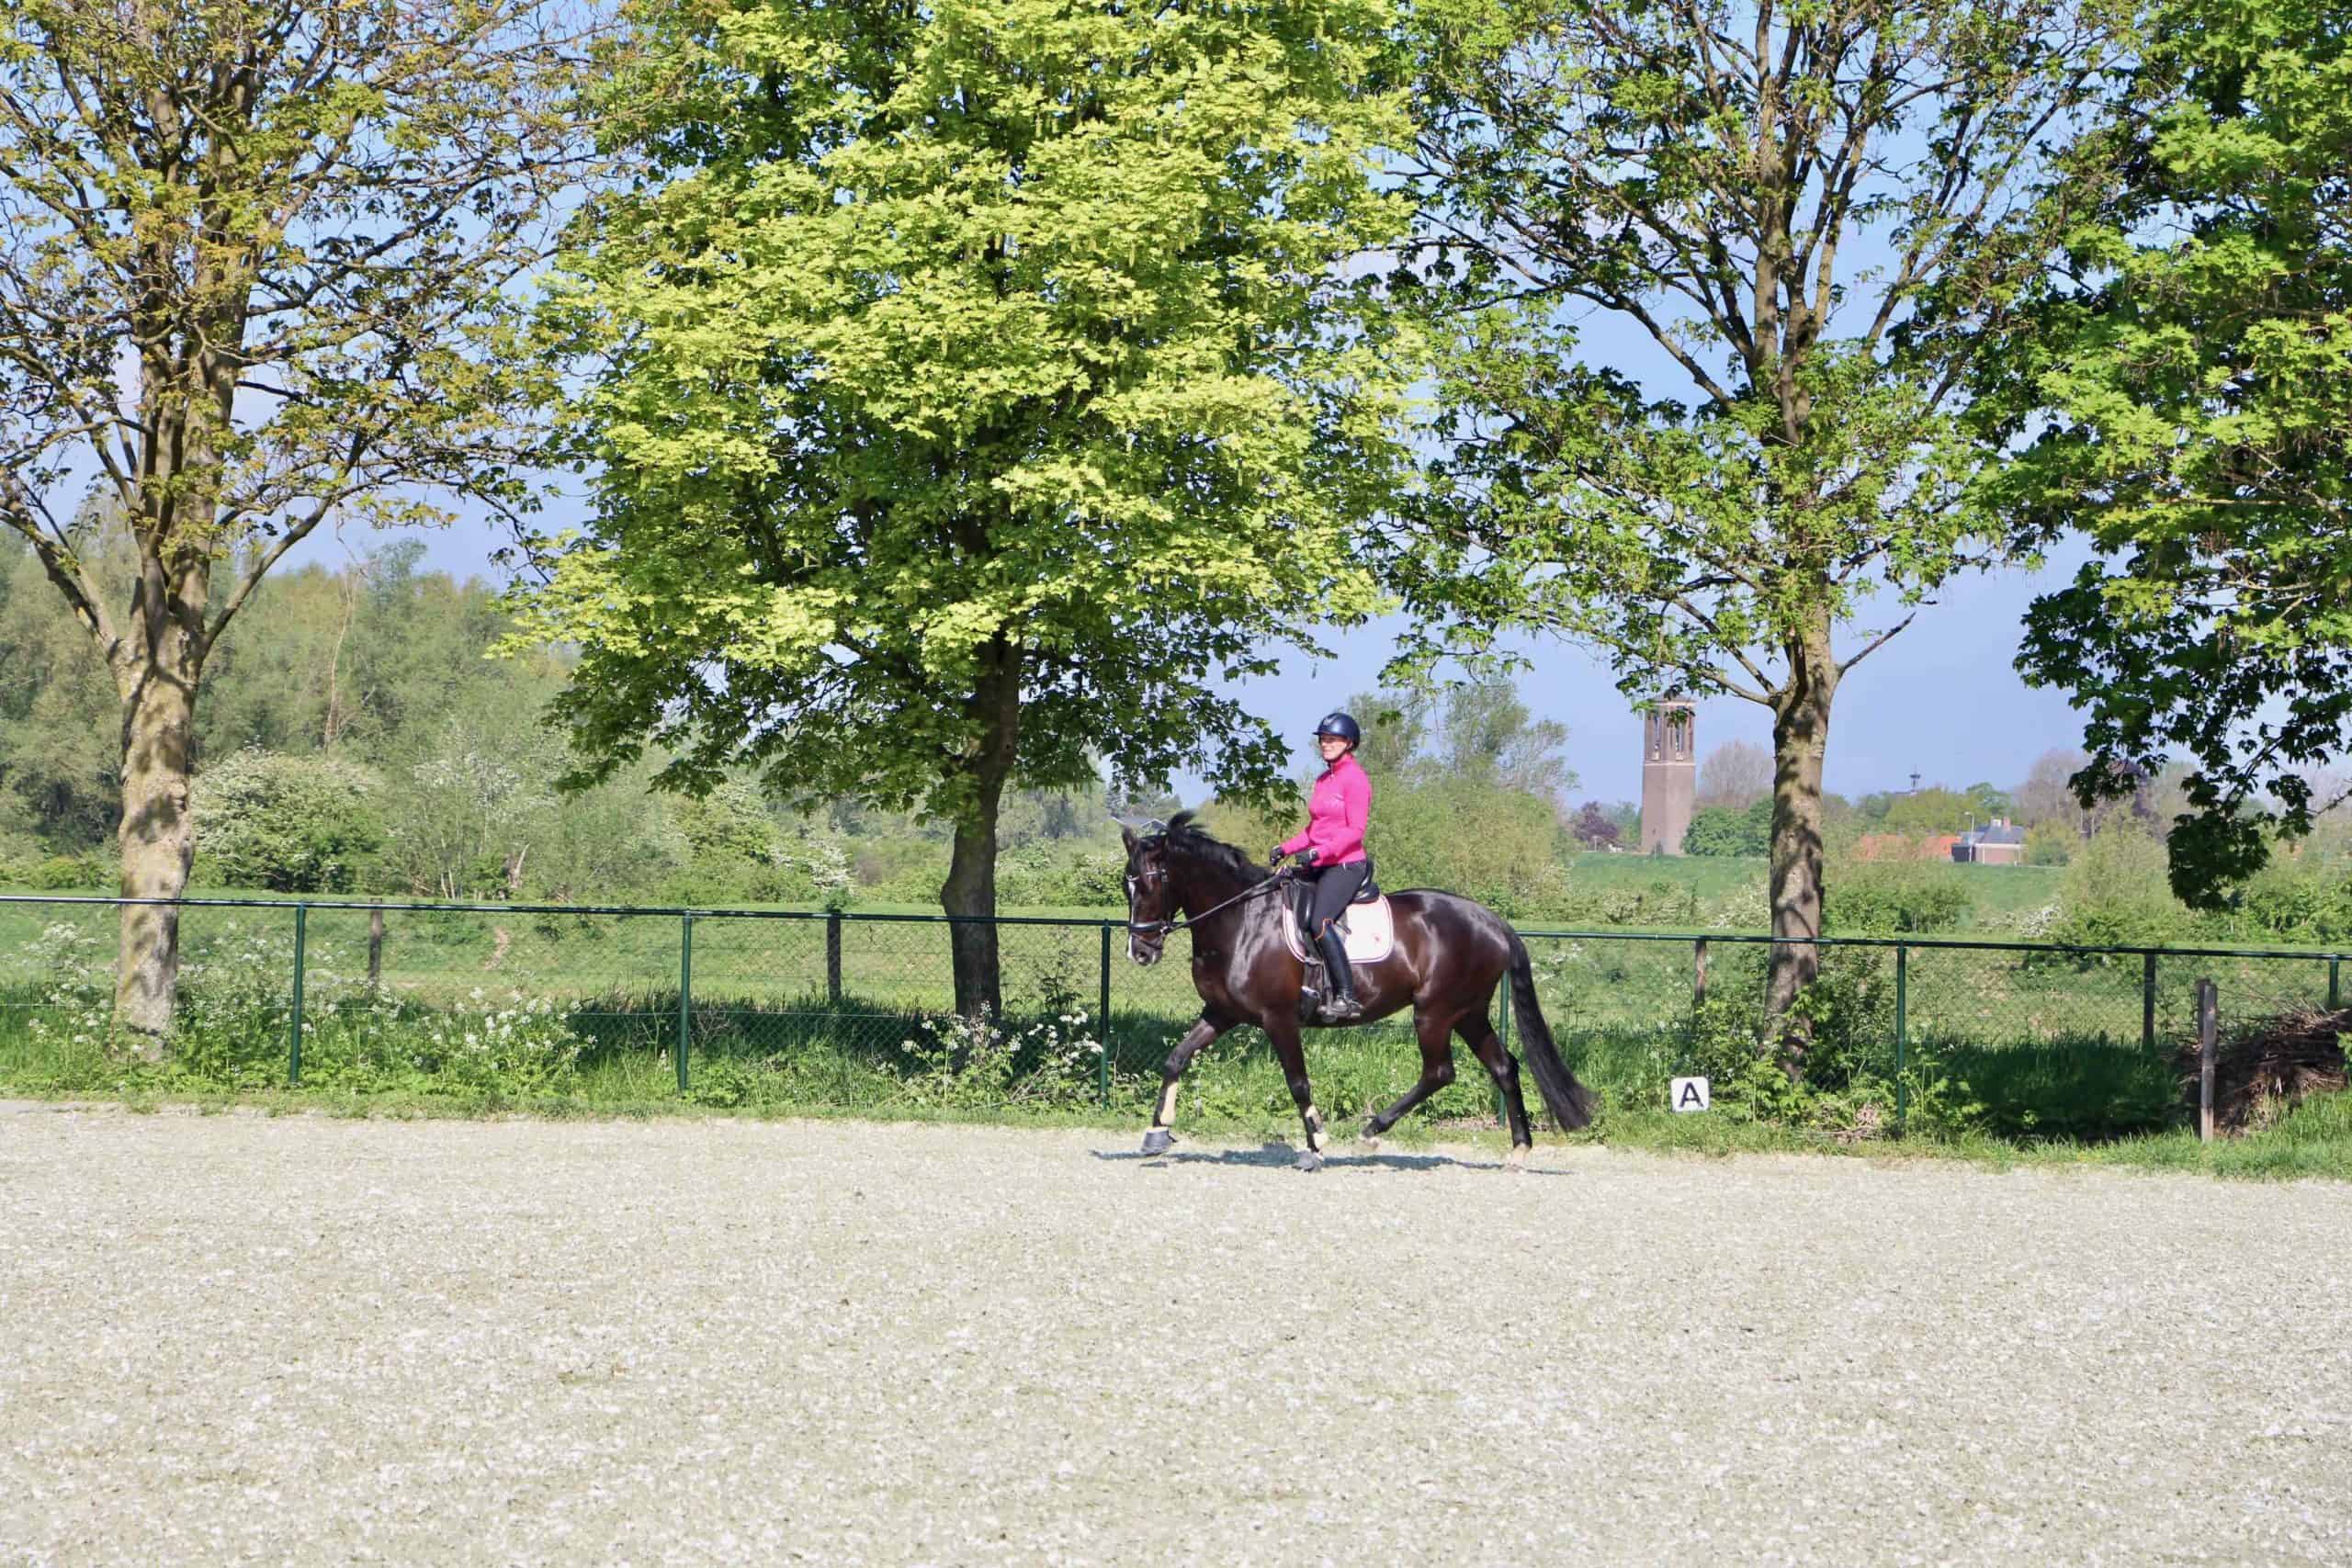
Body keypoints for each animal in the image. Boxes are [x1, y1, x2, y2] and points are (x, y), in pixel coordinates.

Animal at [1121, 812, 1596, 1170]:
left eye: (1148, 883)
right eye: (1126, 884)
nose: (1139, 952)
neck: (1242, 921)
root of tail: (1492, 921)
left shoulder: (1278, 1019)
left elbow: (1298, 1082)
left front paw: (1316, 1146)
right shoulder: (1221, 1013)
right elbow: (1176, 1058)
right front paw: (1156, 1132)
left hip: (1435, 1012)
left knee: (1440, 1072)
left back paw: (1371, 1130)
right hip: (1469, 1013)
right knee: (1503, 1066)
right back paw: (1519, 1150)